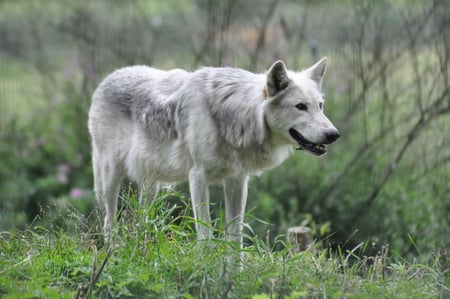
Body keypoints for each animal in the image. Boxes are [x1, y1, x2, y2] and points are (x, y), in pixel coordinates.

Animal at [89, 58, 340, 253]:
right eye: (300, 106)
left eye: (320, 106)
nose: (334, 134)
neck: (232, 115)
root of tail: (105, 79)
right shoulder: (198, 178)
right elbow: (206, 234)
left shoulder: (237, 181)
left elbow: (235, 238)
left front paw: (232, 275)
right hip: (110, 179)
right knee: (108, 222)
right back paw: (113, 252)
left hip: (151, 186)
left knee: (142, 221)